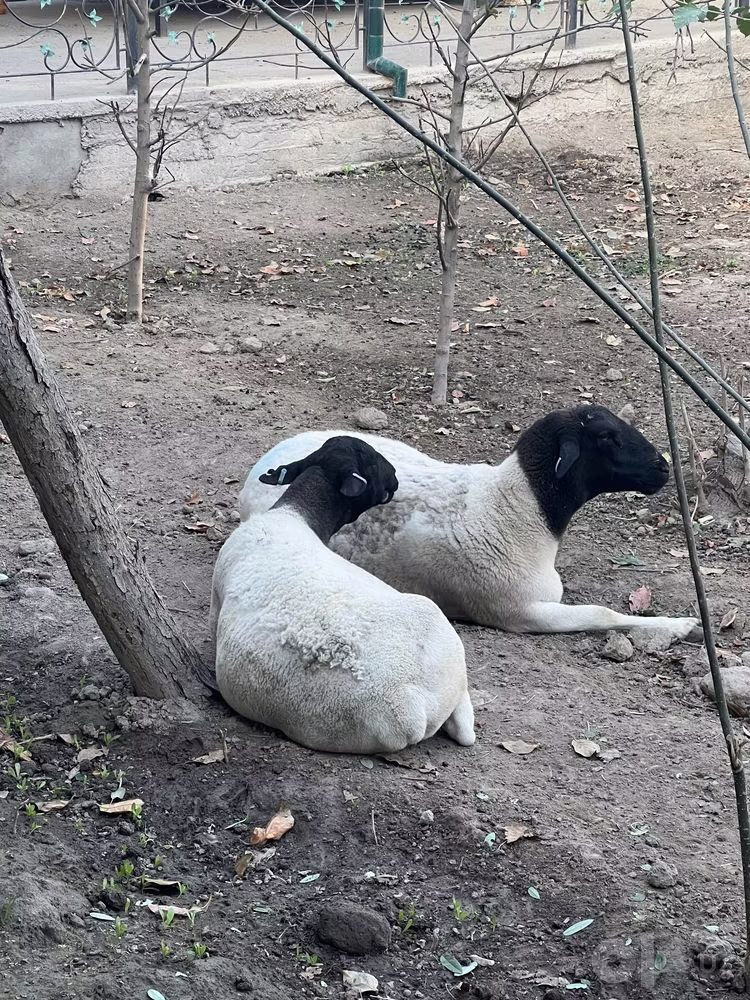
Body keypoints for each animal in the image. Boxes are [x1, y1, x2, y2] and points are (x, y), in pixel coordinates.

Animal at [238, 405, 700, 643]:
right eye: (606, 437)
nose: (663, 468)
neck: (517, 510)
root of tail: (266, 462)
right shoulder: (520, 612)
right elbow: (603, 614)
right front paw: (683, 626)